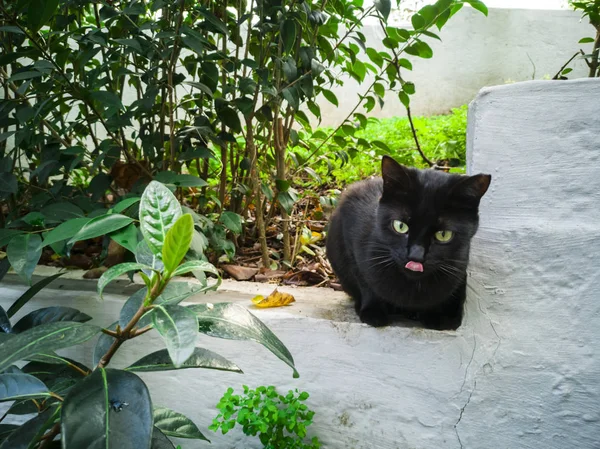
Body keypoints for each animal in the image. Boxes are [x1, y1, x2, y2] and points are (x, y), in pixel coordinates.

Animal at [326, 155, 490, 328]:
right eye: (400, 226)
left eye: (443, 235)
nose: (416, 256)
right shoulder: (350, 236)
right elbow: (364, 281)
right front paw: (373, 311)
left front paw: (437, 316)